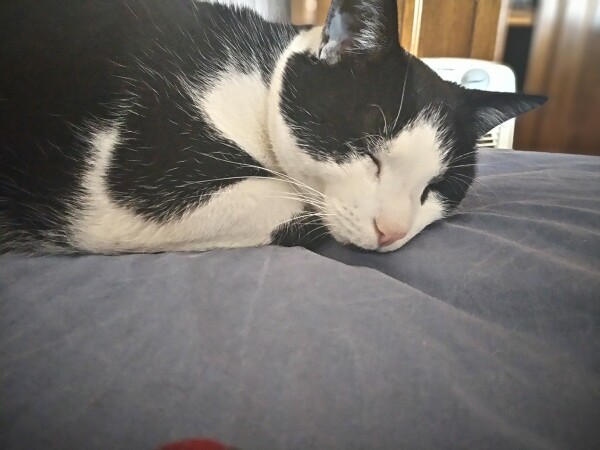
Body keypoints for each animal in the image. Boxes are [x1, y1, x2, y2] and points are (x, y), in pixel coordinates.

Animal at [0, 0, 544, 253]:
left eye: (437, 189)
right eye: (368, 152)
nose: (391, 232)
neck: (257, 83)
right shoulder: (124, 186)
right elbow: (295, 208)